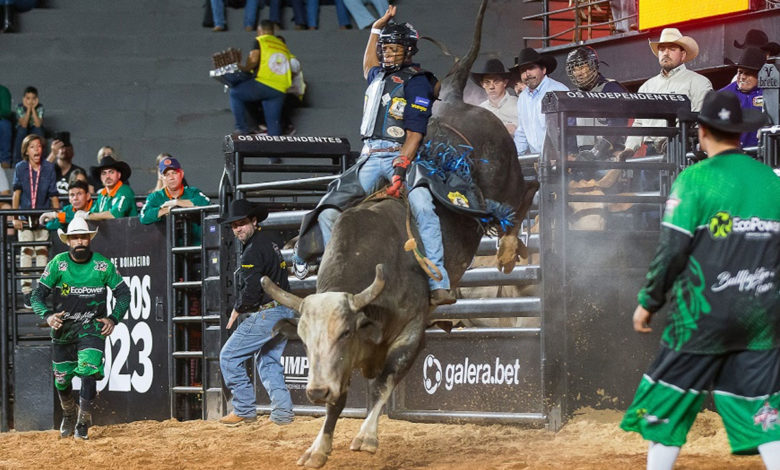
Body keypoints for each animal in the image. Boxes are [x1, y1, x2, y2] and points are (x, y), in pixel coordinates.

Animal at [258, 0, 540, 466]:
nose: (313, 390)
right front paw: (318, 447)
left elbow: (386, 382)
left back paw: (508, 249)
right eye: (302, 338)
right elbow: (340, 400)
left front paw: (367, 437)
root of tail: (456, 98)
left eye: (345, 331)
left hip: (506, 178)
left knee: (525, 195)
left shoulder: (412, 331)